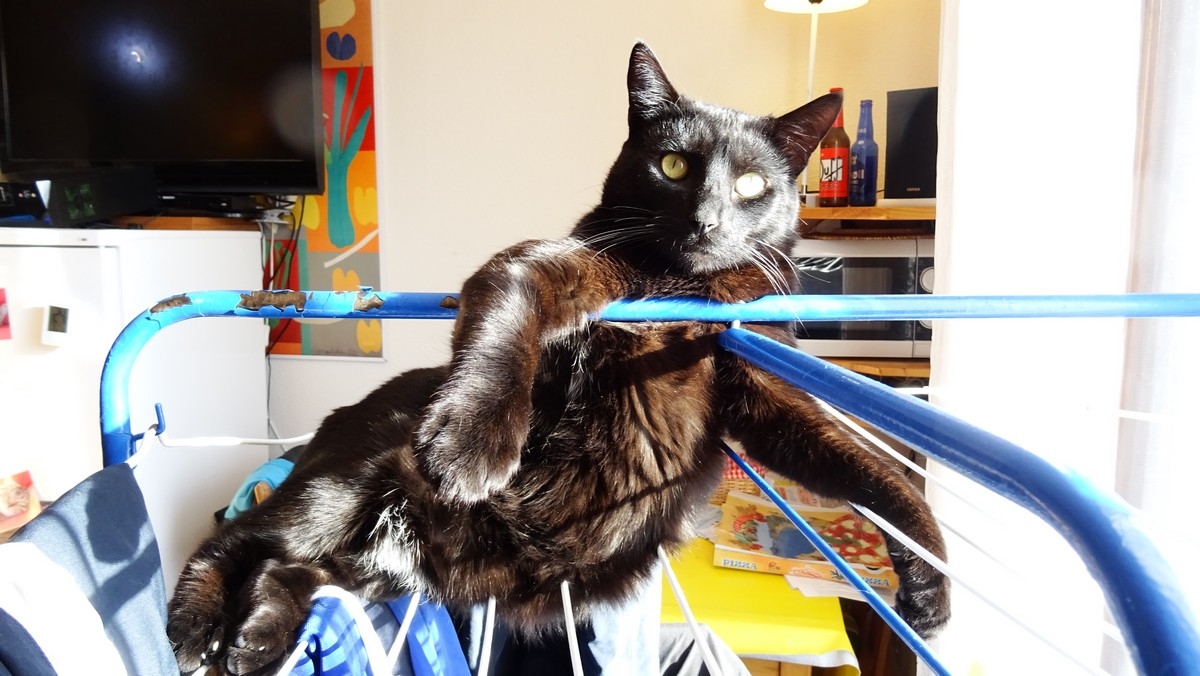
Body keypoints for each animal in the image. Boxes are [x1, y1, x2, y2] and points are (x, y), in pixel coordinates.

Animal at [167, 42, 950, 675]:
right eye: (673, 165)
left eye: (753, 185)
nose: (707, 221)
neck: (681, 287)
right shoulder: (544, 266)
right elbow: (508, 316)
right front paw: (474, 442)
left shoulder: (765, 391)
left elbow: (867, 468)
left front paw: (929, 580)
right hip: (349, 478)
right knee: (241, 537)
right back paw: (196, 627)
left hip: (365, 566)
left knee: (286, 570)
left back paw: (256, 637)